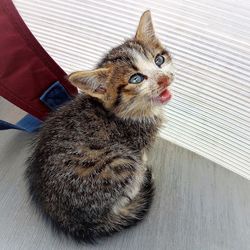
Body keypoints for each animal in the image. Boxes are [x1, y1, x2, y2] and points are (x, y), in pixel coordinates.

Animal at [25, 10, 174, 243]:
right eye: (136, 78)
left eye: (159, 60)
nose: (165, 79)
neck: (130, 113)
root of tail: (74, 221)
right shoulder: (136, 144)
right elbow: (141, 157)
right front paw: (145, 164)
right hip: (120, 162)